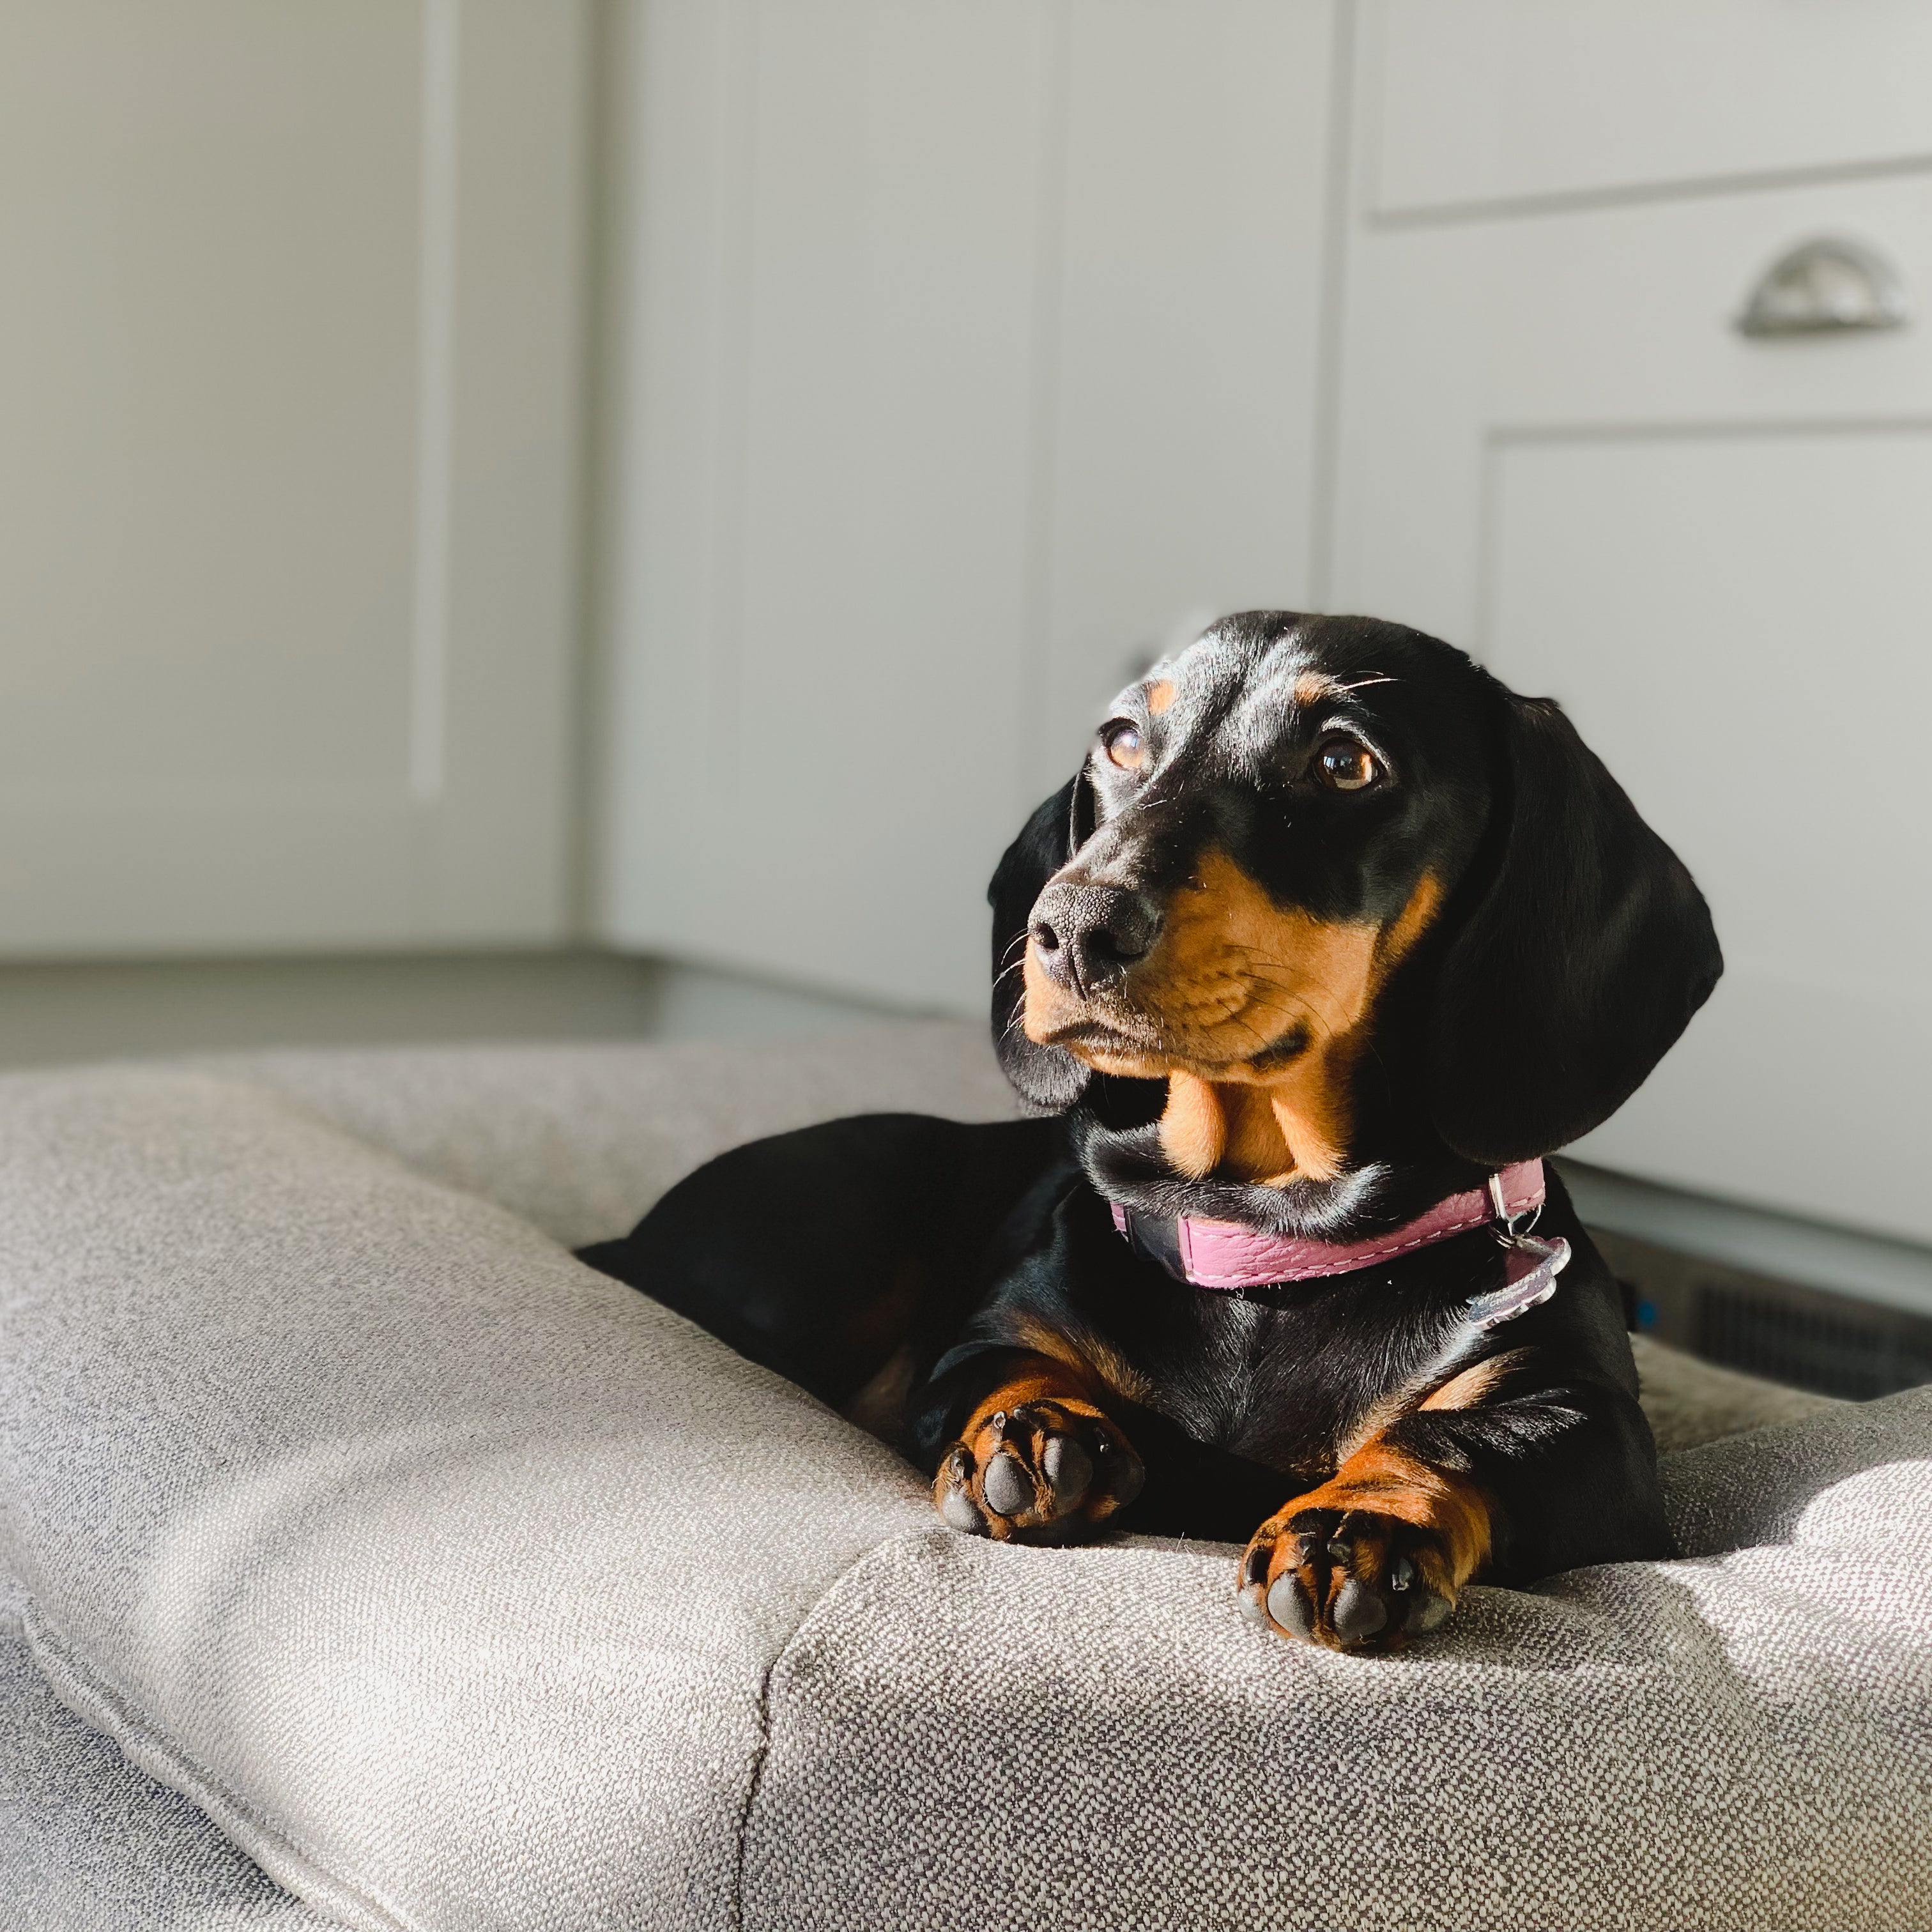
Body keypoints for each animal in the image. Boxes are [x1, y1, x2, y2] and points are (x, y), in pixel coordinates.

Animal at [576, 614, 1723, 1646]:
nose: (1072, 927)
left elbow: (1456, 1435)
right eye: (1122, 738)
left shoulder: (1587, 1422)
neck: (1264, 1245)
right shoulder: (987, 1334)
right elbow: (999, 1365)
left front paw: (1360, 1522)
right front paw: (1035, 1432)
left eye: (1343, 761)